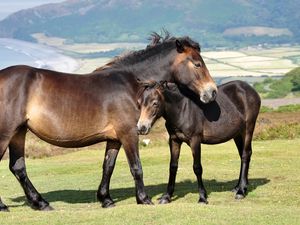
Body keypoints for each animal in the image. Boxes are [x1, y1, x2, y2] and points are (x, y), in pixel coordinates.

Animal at [0, 35, 216, 211]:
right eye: (197, 64)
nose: (212, 92)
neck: (132, 85)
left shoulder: (114, 138)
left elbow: (108, 166)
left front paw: (106, 199)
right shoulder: (129, 133)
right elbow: (136, 167)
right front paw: (144, 199)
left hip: (18, 132)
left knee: (18, 167)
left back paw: (41, 203)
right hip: (6, 133)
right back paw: (5, 206)